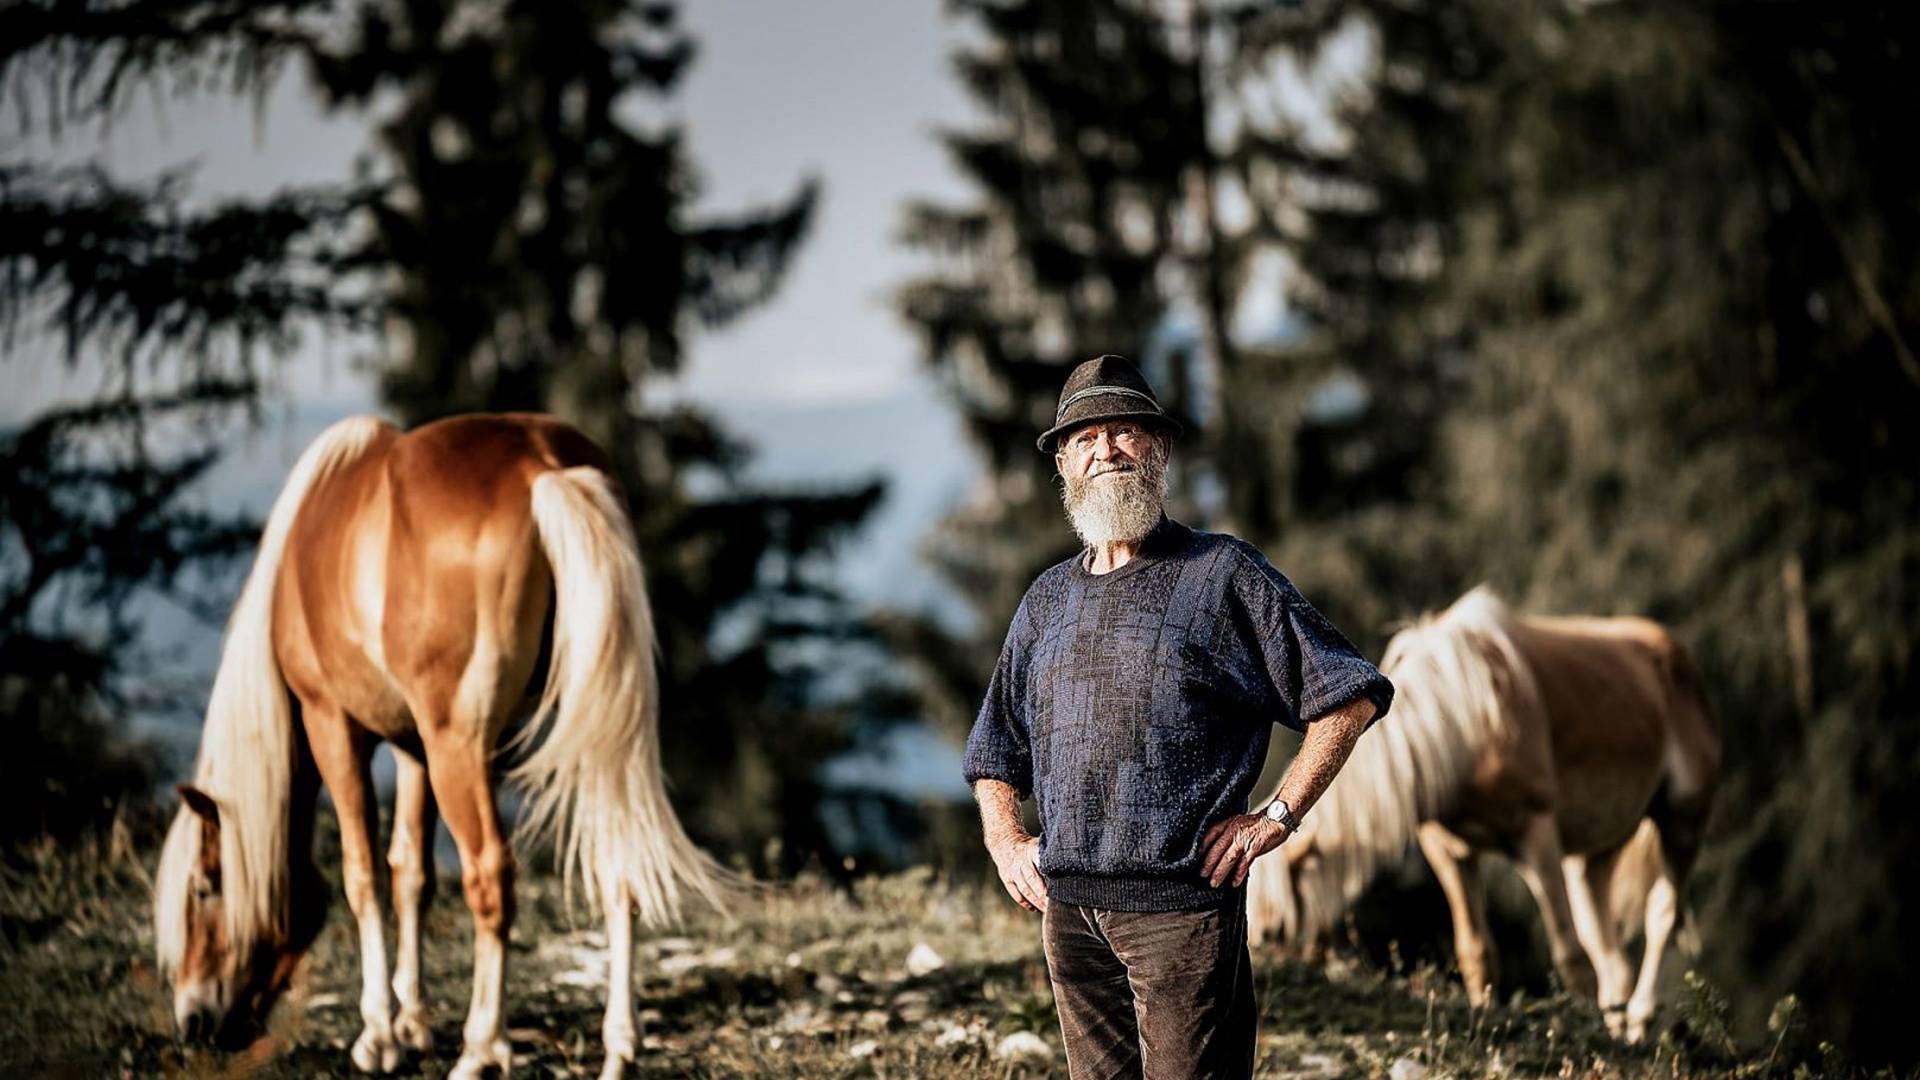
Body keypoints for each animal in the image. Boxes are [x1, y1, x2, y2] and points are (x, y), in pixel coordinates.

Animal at [149, 413, 729, 1076]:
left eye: (204, 887)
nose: (193, 1021)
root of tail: (542, 468)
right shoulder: (414, 749)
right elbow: (411, 873)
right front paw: (414, 1023)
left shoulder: (335, 727)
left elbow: (363, 875)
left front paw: (379, 1035)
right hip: (588, 728)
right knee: (616, 867)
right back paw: (619, 1049)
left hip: (461, 746)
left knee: (491, 876)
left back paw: (481, 1049)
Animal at [1244, 584, 1728, 1037]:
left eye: (1275, 931)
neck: (1466, 719)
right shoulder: (1450, 852)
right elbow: (1477, 952)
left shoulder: (1537, 837)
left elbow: (1569, 955)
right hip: (1593, 858)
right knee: (1610, 954)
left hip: (1682, 822)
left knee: (1662, 916)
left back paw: (1639, 1024)